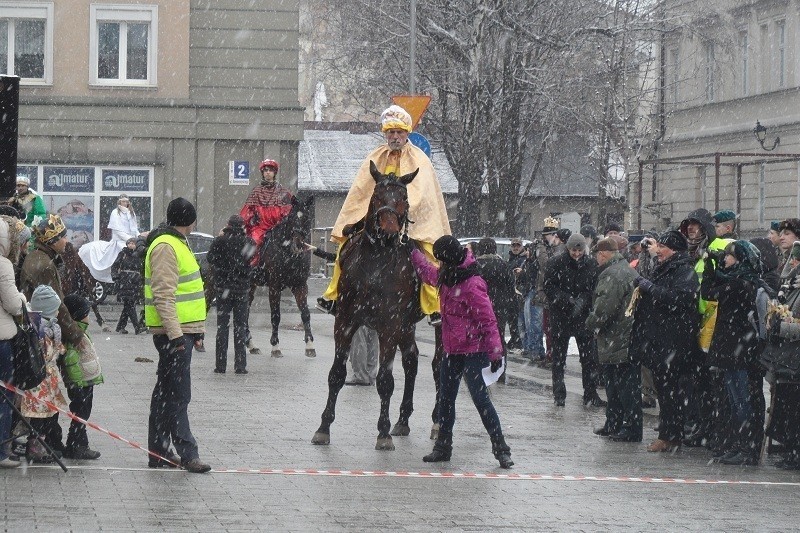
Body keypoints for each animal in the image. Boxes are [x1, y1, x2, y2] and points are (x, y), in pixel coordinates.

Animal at [250, 195, 316, 358]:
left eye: (307, 217)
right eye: (292, 217)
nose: (298, 244)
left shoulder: (300, 285)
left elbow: (305, 314)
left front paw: (310, 345)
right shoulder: (274, 287)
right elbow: (276, 316)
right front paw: (275, 346)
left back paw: (251, 345)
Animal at [310, 161, 432, 448]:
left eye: (404, 199)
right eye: (376, 196)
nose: (388, 232)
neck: (376, 265)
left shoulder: (389, 326)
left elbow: (385, 380)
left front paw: (383, 432)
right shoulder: (345, 321)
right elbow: (336, 374)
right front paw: (323, 427)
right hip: (406, 327)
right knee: (411, 360)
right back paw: (403, 421)